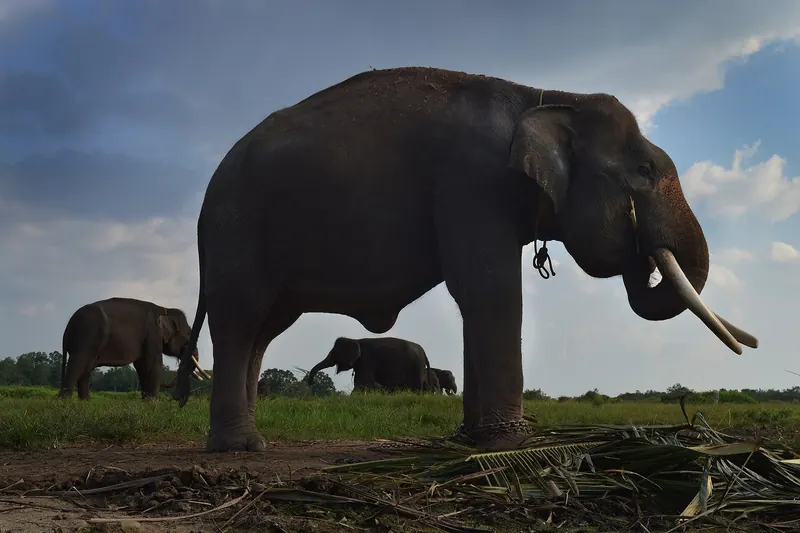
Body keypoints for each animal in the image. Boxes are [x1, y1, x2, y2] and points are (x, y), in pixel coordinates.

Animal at [58, 297, 210, 400]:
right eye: (190, 334)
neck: (165, 309)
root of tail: (68, 325)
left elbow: (142, 366)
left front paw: (146, 403)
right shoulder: (152, 334)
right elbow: (152, 364)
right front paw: (153, 404)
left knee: (86, 369)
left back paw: (85, 402)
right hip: (86, 337)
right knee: (77, 364)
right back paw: (65, 402)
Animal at [172, 66, 759, 453]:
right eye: (644, 170)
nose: (644, 255)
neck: (545, 97)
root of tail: (206, 193)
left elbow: (479, 299)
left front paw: (476, 440)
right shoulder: (473, 182)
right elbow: (489, 289)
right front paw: (510, 444)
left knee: (262, 330)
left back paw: (247, 440)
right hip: (238, 230)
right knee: (240, 320)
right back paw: (240, 449)